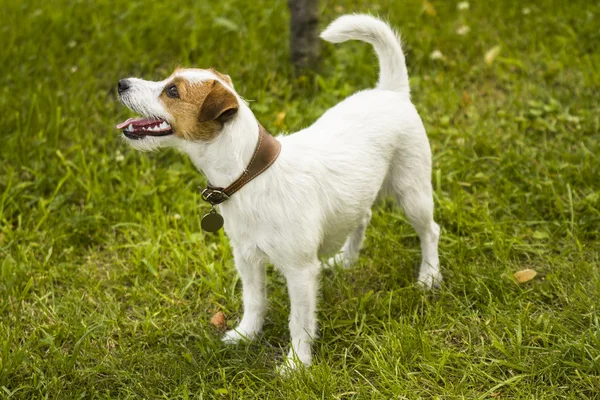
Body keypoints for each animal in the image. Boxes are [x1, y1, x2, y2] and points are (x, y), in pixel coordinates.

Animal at [117, 14, 442, 372]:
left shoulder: (300, 272)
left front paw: (297, 364)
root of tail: (390, 92)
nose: (121, 83)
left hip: (412, 193)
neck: (250, 174)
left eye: (172, 91)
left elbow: (298, 321)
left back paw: (429, 277)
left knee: (430, 231)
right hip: (358, 194)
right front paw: (246, 334)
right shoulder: (246, 258)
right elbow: (254, 300)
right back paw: (347, 260)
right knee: (363, 215)